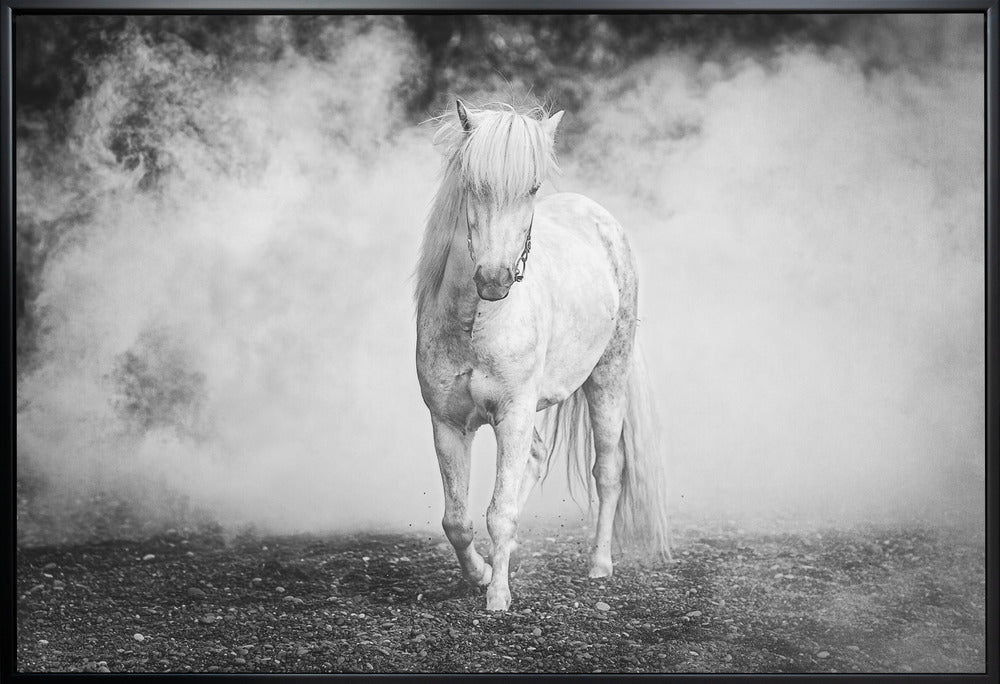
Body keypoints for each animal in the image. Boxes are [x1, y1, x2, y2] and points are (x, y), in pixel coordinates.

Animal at [414, 99, 671, 611]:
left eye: (532, 187)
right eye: (473, 184)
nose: (494, 279)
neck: (476, 321)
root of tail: (602, 220)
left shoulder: (512, 414)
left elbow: (500, 511)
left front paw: (497, 597)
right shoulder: (447, 422)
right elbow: (457, 520)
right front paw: (481, 574)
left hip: (607, 381)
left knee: (608, 471)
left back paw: (599, 565)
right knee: (534, 460)